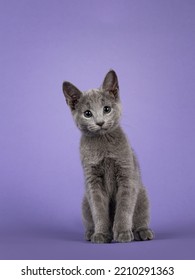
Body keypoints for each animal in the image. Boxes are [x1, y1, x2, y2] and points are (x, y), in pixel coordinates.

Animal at [62, 69, 154, 243]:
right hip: (84, 201)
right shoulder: (92, 180)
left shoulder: (126, 175)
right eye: (87, 113)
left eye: (106, 109)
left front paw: (123, 233)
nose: (99, 122)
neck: (104, 145)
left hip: (142, 194)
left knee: (141, 217)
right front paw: (101, 234)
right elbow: (98, 209)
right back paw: (90, 233)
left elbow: (124, 207)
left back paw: (142, 232)